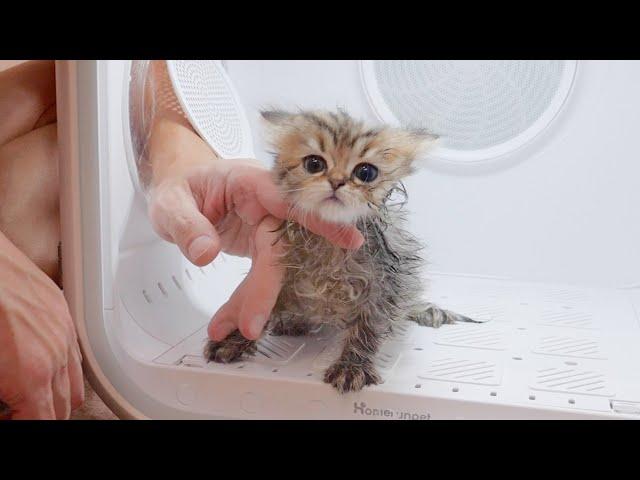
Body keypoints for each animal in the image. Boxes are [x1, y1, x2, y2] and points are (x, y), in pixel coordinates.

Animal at [204, 109, 476, 394]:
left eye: (365, 172)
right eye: (314, 164)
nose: (336, 182)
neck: (329, 243)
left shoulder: (385, 286)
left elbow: (367, 328)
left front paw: (352, 365)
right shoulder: (274, 276)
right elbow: (257, 308)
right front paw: (234, 339)